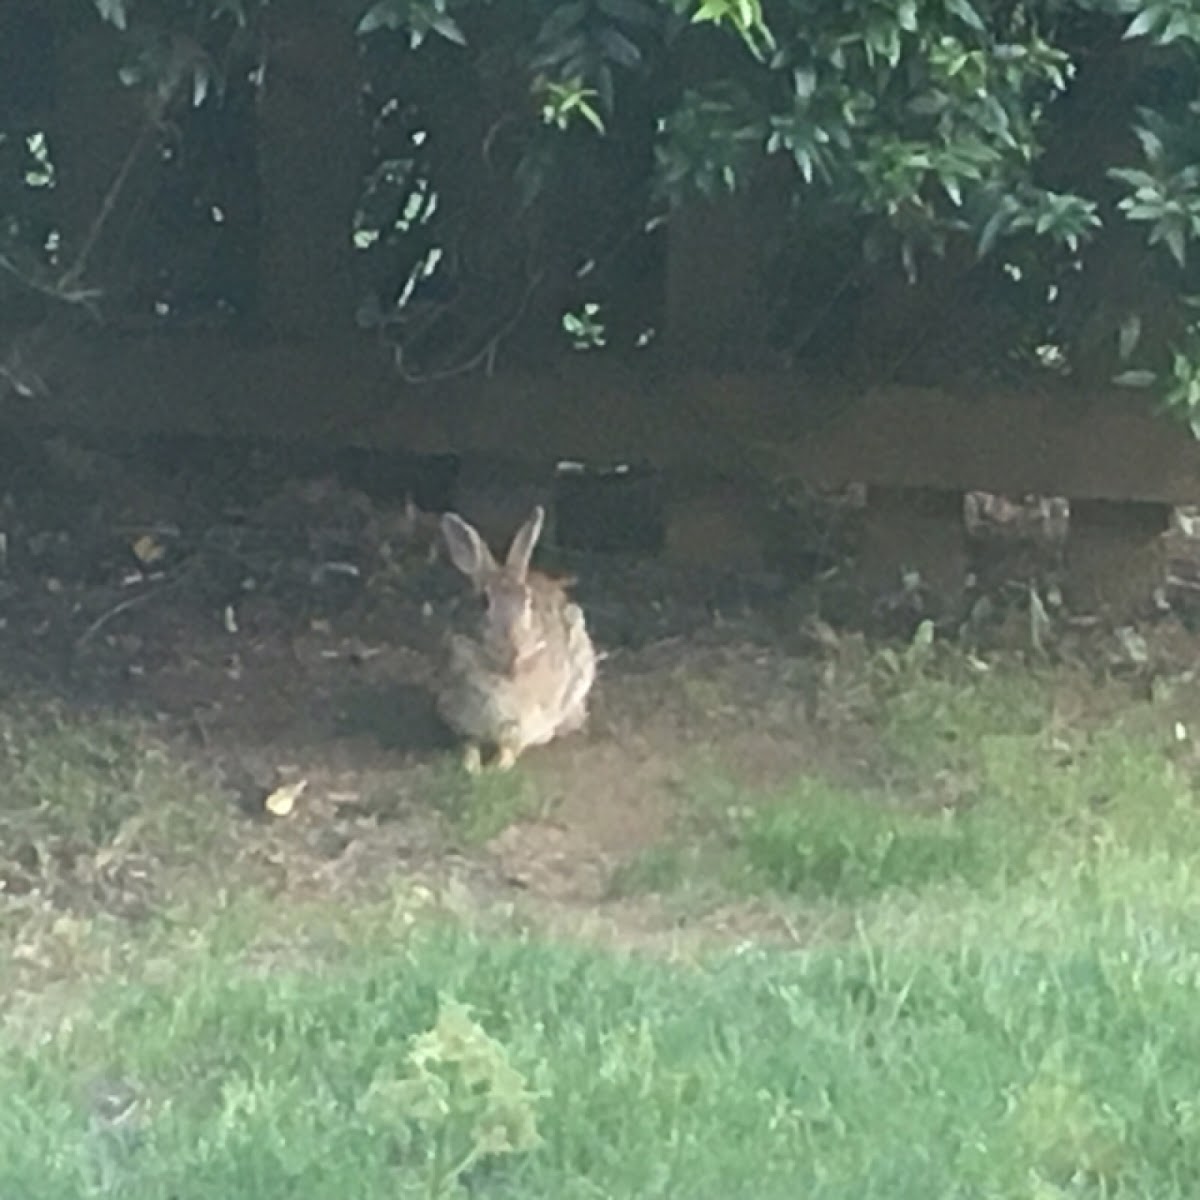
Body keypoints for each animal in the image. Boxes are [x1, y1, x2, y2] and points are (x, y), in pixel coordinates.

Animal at [436, 504, 595, 768]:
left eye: (528, 601)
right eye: (484, 601)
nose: (513, 646)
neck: (501, 670)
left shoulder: (526, 722)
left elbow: (511, 746)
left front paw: (497, 766)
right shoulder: (463, 718)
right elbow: (469, 743)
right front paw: (471, 766)